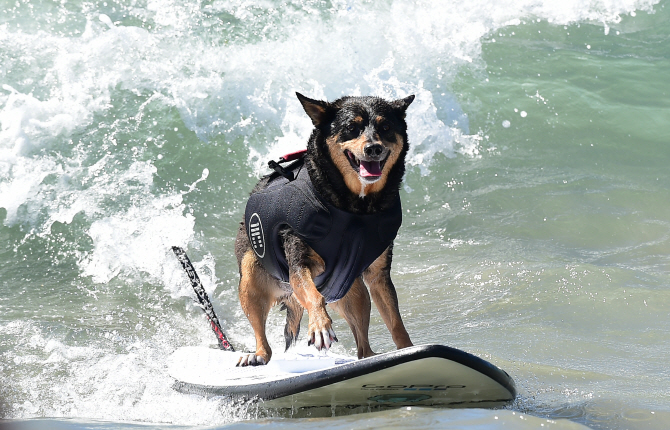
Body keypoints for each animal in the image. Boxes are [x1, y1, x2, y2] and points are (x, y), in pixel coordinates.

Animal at [235, 92, 414, 364]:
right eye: (351, 128)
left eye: (385, 127)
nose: (374, 148)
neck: (356, 206)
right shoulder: (299, 263)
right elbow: (313, 295)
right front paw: (320, 325)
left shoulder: (378, 274)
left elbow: (395, 320)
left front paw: (409, 348)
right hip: (251, 275)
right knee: (261, 329)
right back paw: (258, 355)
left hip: (353, 292)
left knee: (362, 345)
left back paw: (370, 355)